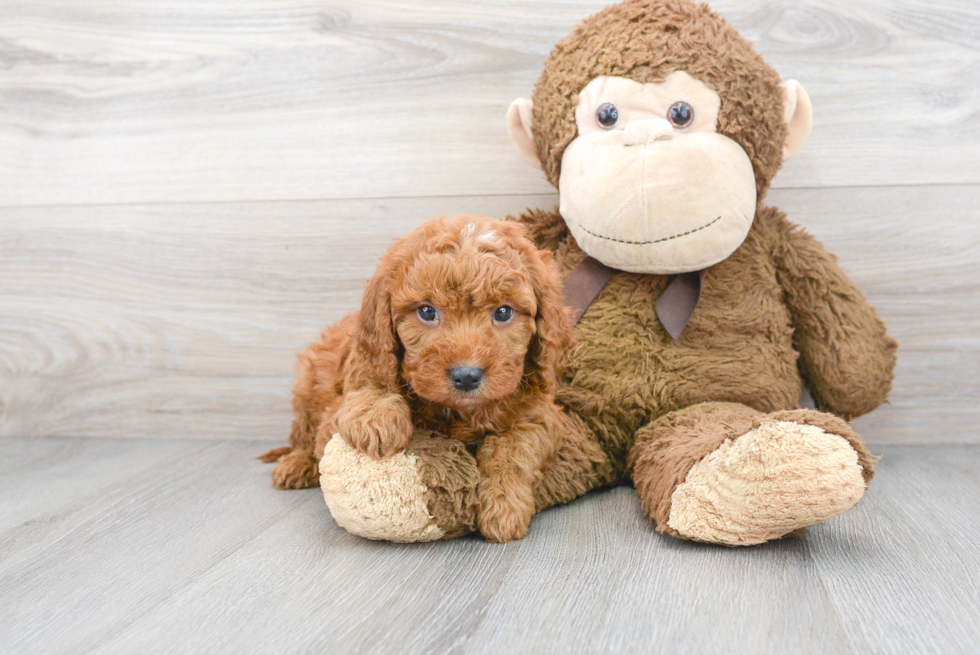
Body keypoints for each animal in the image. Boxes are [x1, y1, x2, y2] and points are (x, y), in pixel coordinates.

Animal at [258, 215, 576, 544]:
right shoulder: (349, 389)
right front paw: (376, 418)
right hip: (308, 384)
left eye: (503, 312)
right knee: (302, 434)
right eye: (426, 311)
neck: (459, 412)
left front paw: (504, 505)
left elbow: (514, 449)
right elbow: (369, 389)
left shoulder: (540, 415)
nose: (466, 376)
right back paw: (296, 464)